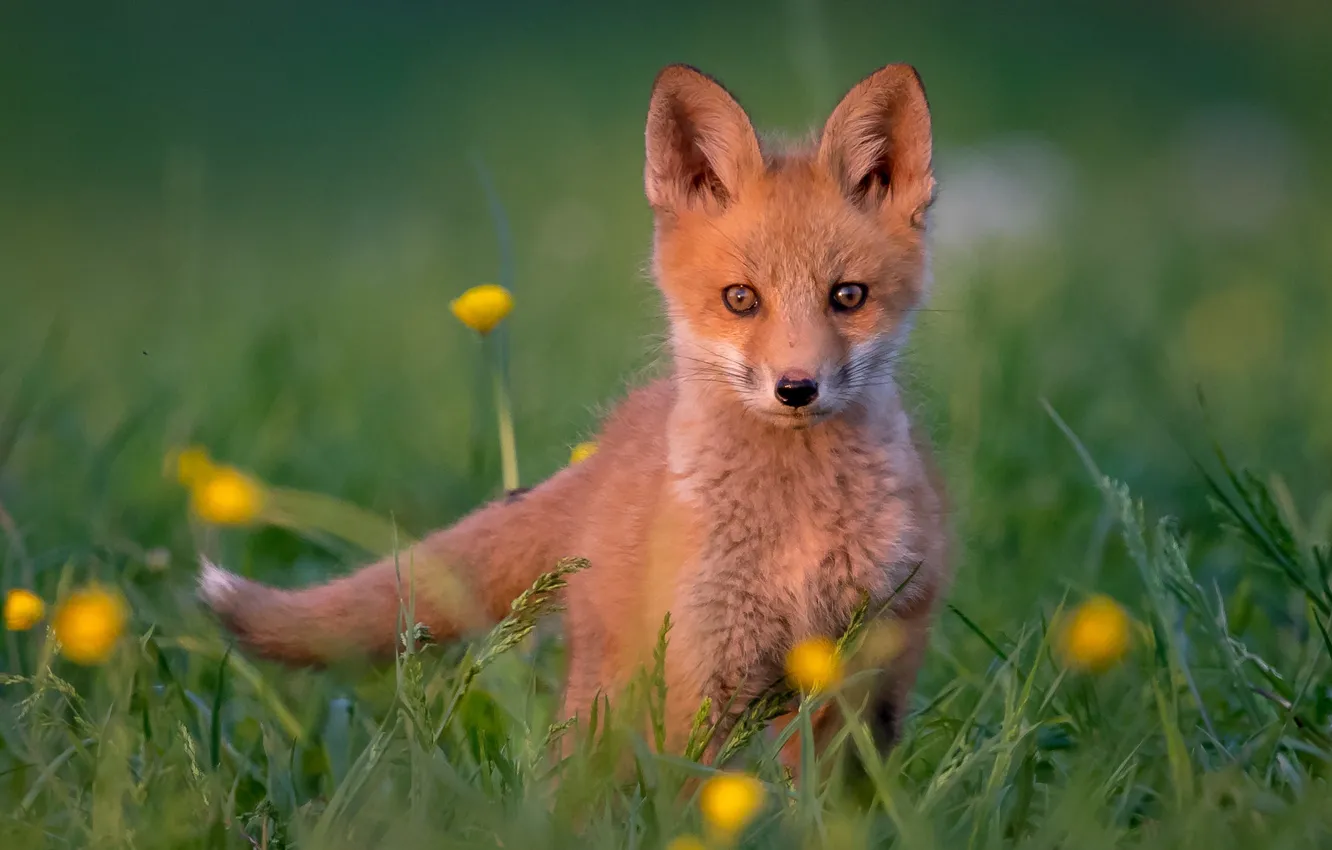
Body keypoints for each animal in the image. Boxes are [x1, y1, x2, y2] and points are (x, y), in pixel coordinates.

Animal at [199, 62, 950, 770]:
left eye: (848, 296)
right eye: (741, 299)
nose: (797, 389)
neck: (793, 530)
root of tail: (610, 446)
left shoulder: (857, 663)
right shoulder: (704, 670)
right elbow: (704, 791)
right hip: (614, 693)